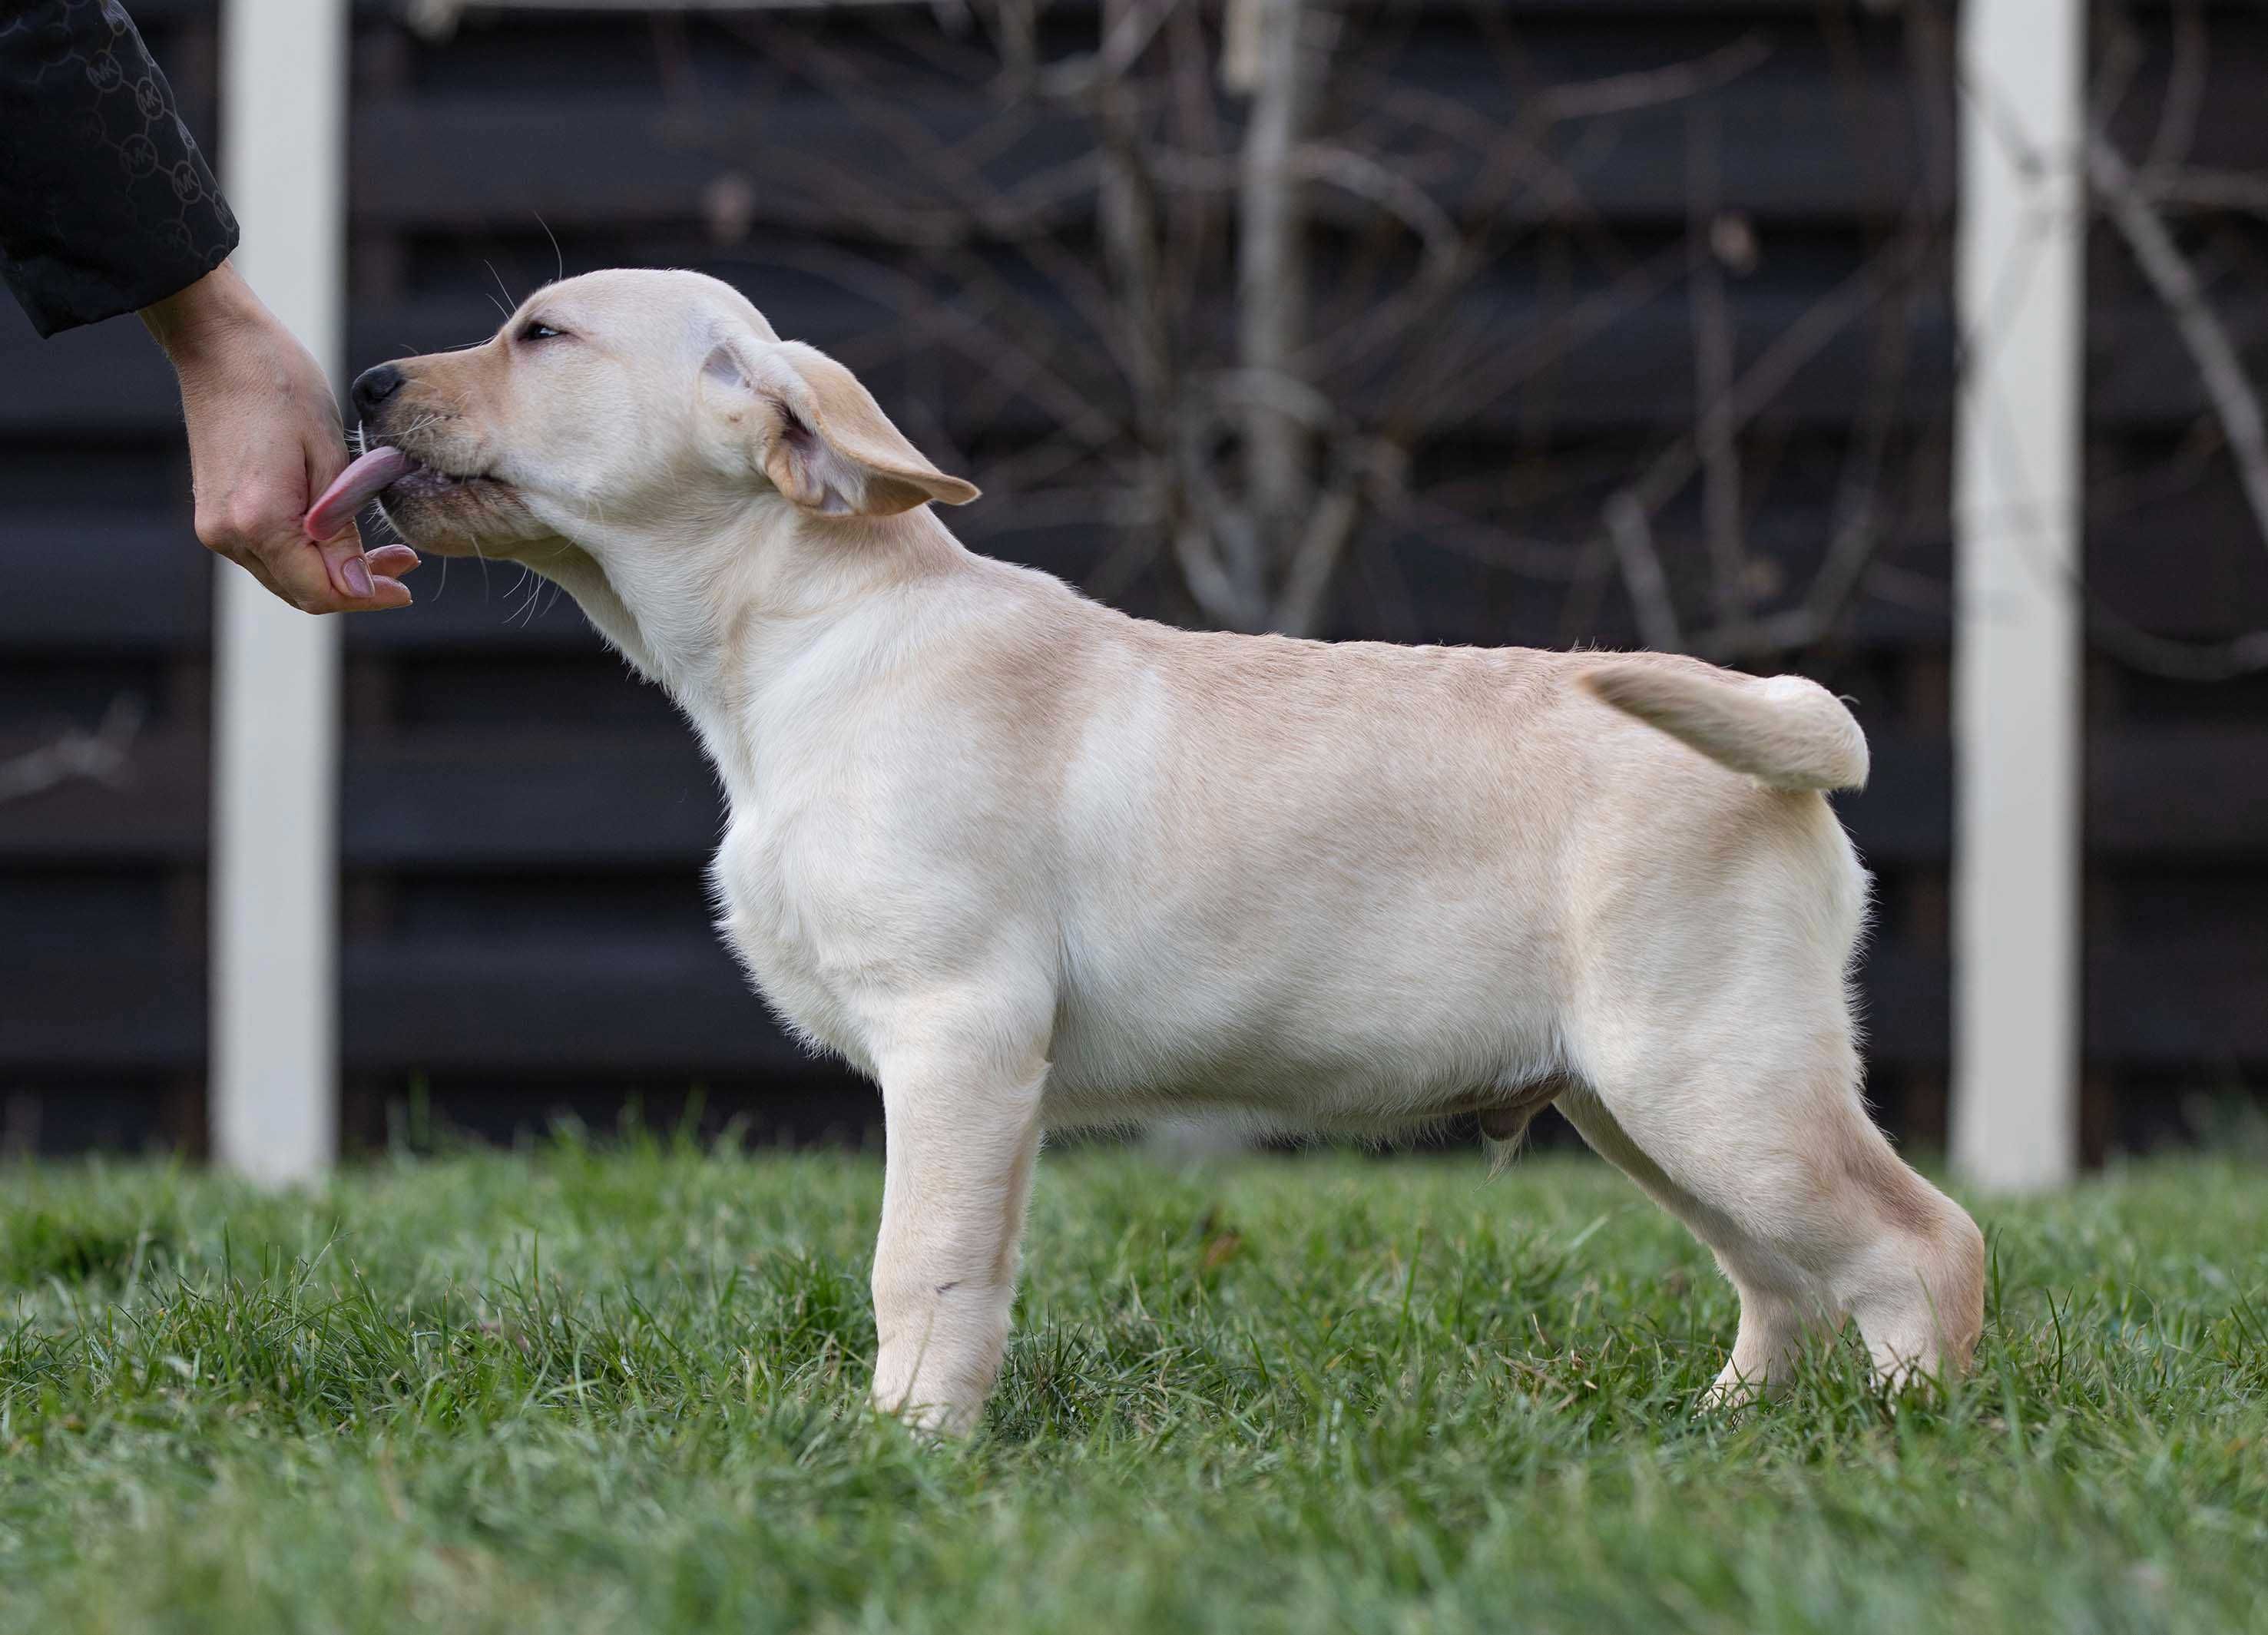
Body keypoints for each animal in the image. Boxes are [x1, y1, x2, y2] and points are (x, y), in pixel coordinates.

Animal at [320, 264, 1986, 1433]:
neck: (808, 629)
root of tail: (1791, 731)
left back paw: (1917, 1434)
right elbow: (972, 1268)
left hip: (1711, 1074)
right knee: (1782, 1276)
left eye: (540, 334)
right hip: (1638, 1096)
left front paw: (901, 1446)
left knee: (1922, 1241)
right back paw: (1726, 1425)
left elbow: (917, 1259)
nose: (366, 378)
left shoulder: (958, 1029)